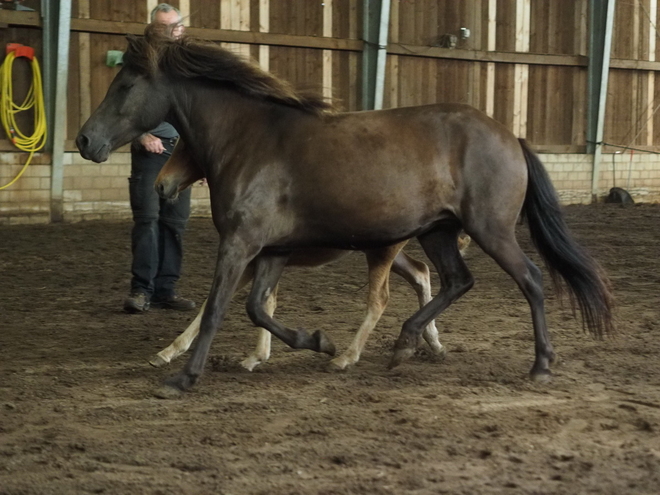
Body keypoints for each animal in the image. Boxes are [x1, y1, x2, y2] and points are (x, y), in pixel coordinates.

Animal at [76, 29, 612, 398]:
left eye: (125, 84)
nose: (85, 141)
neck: (252, 140)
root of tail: (510, 136)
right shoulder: (272, 250)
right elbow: (257, 308)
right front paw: (319, 343)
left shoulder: (241, 244)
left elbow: (216, 311)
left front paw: (182, 378)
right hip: (437, 232)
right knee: (455, 281)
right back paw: (405, 344)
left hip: (489, 229)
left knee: (531, 280)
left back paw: (540, 364)